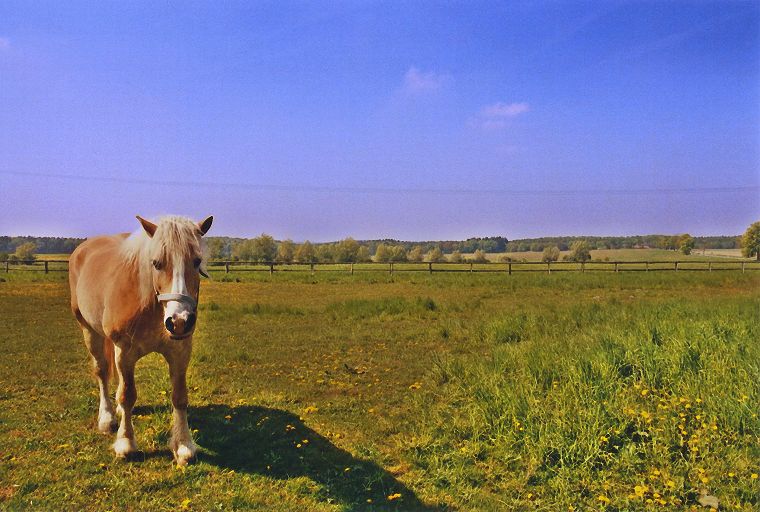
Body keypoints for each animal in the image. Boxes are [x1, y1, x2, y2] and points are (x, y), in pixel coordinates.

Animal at [68, 214, 212, 466]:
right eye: (156, 263)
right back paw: (106, 418)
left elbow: (179, 397)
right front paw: (126, 444)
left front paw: (183, 446)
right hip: (89, 330)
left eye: (196, 261)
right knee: (101, 371)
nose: (179, 321)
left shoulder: (180, 350)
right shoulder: (124, 352)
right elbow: (127, 396)